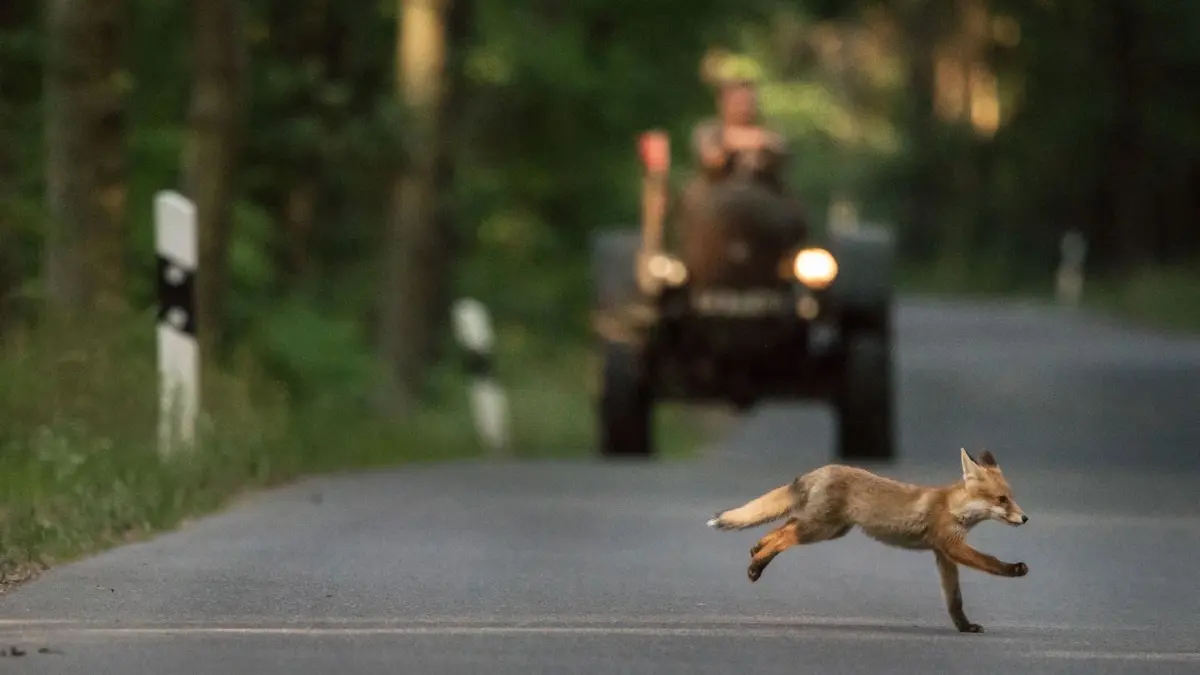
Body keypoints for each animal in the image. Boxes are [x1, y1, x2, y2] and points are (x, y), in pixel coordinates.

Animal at [706, 448, 1028, 633]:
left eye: (1012, 498)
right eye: (1002, 499)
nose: (1025, 518)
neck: (953, 507)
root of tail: (819, 470)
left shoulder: (944, 555)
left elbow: (955, 599)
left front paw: (965, 626)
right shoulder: (951, 545)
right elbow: (990, 562)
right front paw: (1014, 569)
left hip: (829, 528)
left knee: (783, 527)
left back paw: (757, 550)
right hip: (820, 529)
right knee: (785, 535)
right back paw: (757, 565)